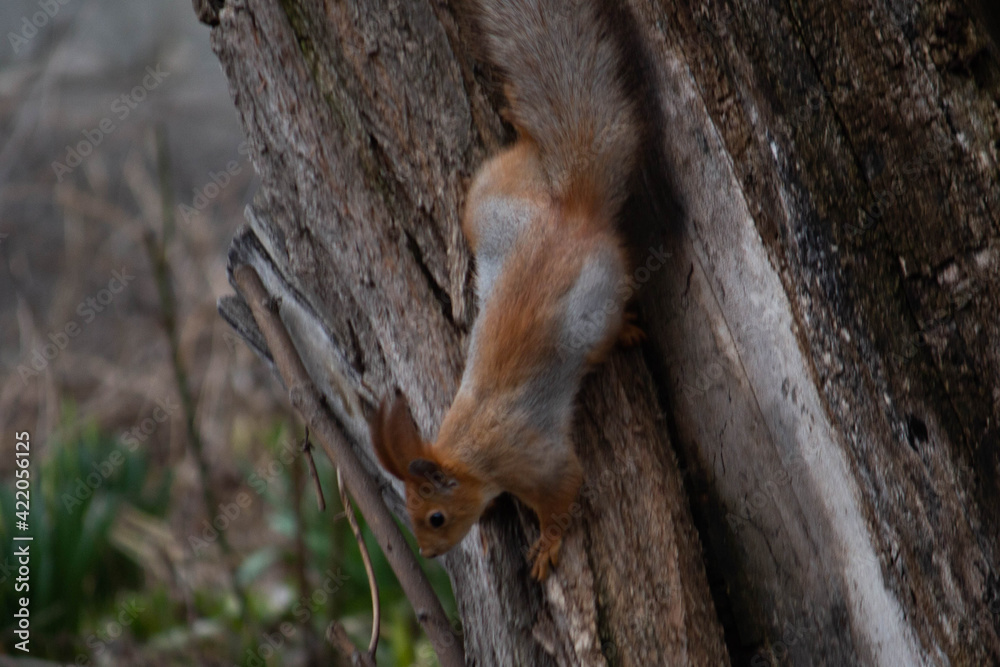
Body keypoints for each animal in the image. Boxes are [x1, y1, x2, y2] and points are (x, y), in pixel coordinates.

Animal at [371, 0, 646, 581]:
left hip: (598, 297)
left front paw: (547, 545)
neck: (470, 450)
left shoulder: (533, 460)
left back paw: (626, 333)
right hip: (489, 203)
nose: (428, 555)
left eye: (434, 517)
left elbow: (565, 489)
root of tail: (571, 212)